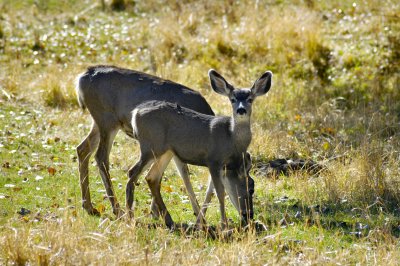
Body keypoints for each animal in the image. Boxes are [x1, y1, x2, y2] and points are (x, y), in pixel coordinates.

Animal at [76, 65, 217, 218]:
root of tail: (83, 77)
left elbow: (181, 172)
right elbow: (179, 173)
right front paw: (158, 211)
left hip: (99, 122)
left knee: (82, 149)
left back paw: (89, 206)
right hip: (107, 120)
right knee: (100, 157)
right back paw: (117, 209)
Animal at [126, 69, 274, 229]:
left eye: (250, 99)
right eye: (233, 99)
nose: (249, 214)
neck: (231, 139)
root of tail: (135, 112)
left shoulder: (221, 166)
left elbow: (211, 191)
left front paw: (201, 222)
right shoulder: (213, 160)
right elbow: (219, 193)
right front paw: (224, 225)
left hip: (165, 151)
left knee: (151, 177)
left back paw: (169, 221)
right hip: (150, 146)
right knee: (133, 173)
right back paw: (130, 218)